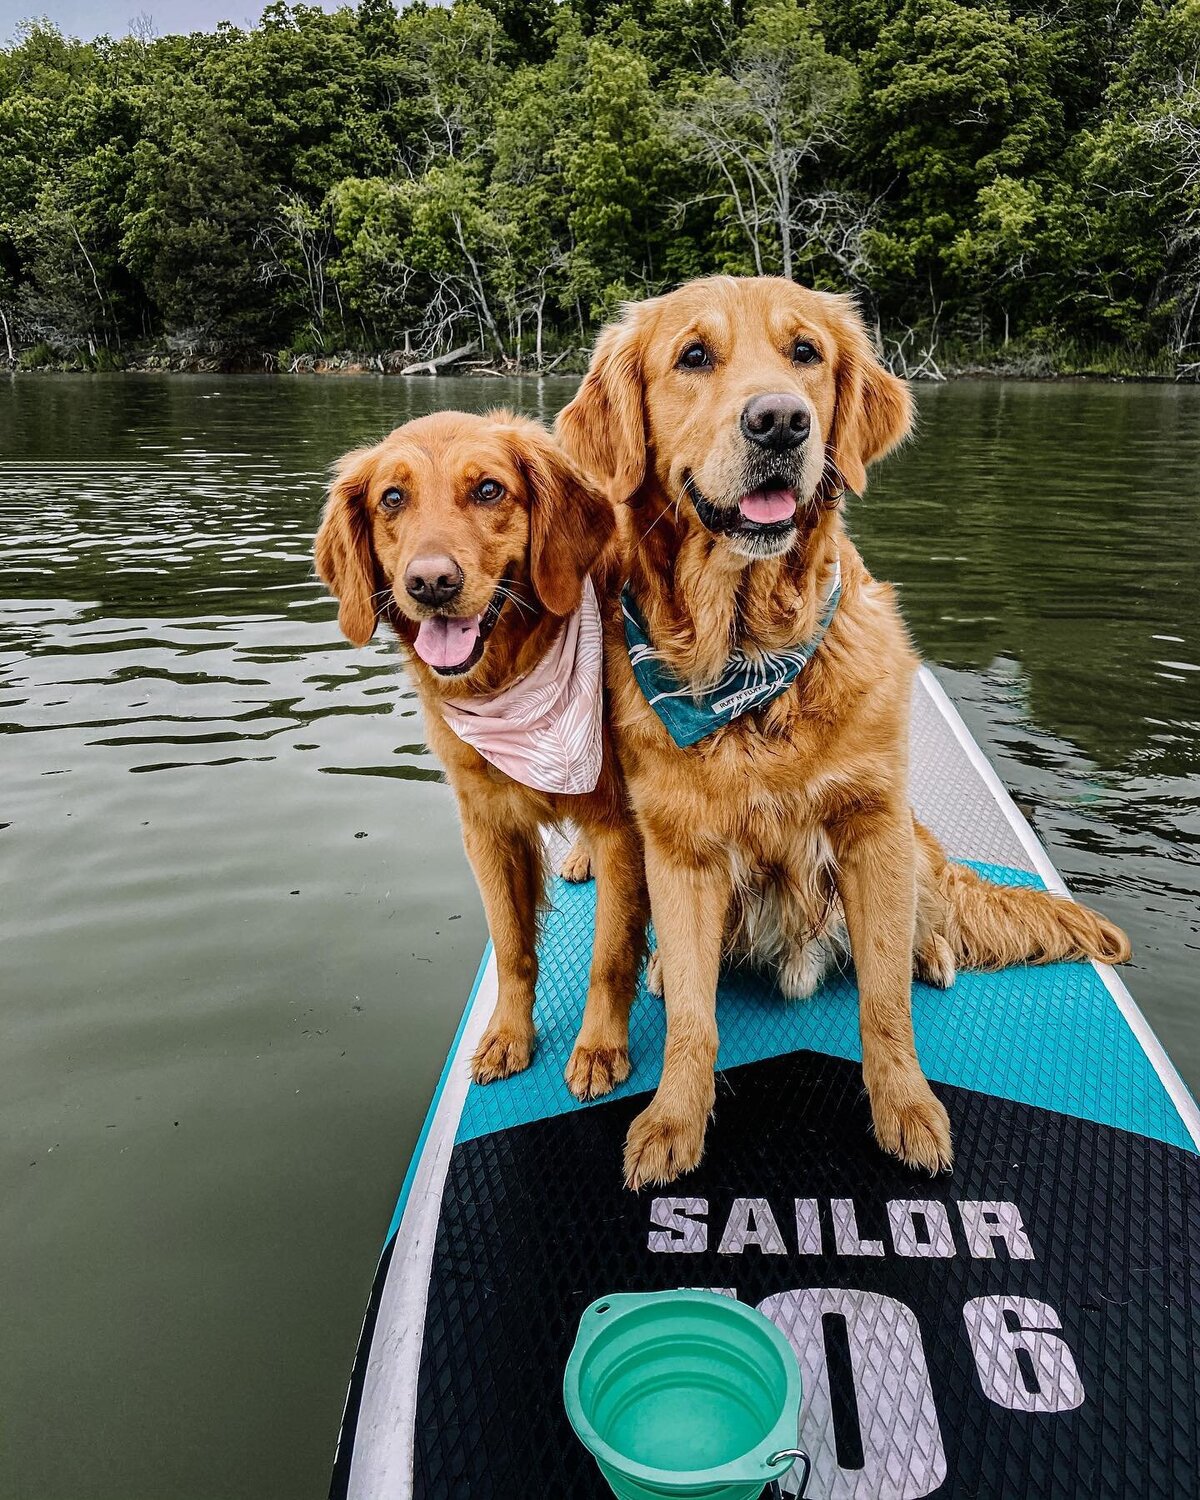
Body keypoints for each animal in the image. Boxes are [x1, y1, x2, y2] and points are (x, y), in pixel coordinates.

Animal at [309, 417, 648, 1098]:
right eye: (392, 498)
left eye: (489, 489)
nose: (431, 582)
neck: (511, 683)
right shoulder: (486, 826)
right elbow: (512, 945)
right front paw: (507, 1035)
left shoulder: (621, 821)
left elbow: (611, 952)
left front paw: (600, 1046)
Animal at [558, 279, 1128, 1194]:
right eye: (693, 356)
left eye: (806, 353)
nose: (781, 423)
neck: (750, 660)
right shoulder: (679, 850)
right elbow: (693, 1019)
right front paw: (673, 1122)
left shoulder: (872, 827)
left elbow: (884, 1006)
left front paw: (907, 1111)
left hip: (917, 851)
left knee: (929, 924)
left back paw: (933, 951)